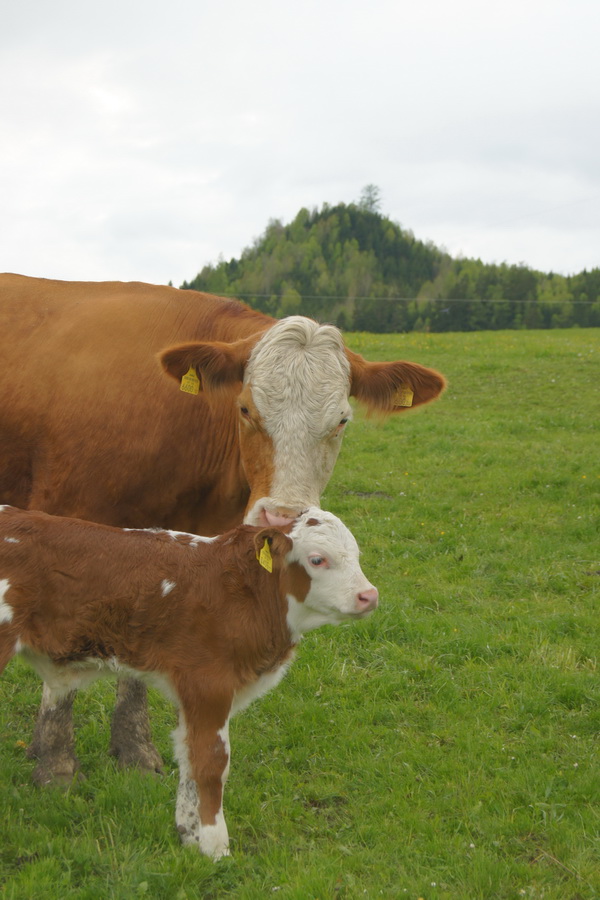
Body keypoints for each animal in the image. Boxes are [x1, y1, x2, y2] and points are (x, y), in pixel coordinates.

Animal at [0, 502, 378, 860]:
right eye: (317, 559)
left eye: (357, 556)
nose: (369, 596)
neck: (246, 593)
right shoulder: (207, 683)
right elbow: (211, 762)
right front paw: (214, 845)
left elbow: (189, 759)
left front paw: (189, 833)